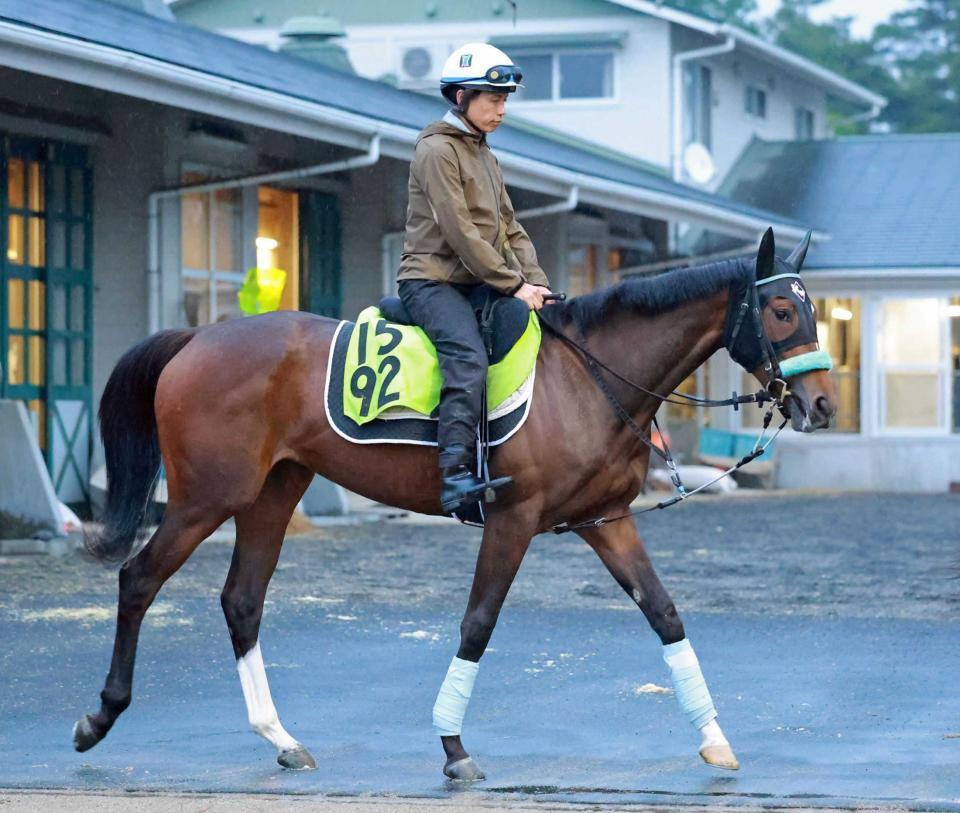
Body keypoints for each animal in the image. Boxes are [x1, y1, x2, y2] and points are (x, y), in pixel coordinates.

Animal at [74, 227, 836, 779]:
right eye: (780, 309)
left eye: (812, 308)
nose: (824, 403)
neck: (587, 376)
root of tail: (198, 337)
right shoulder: (512, 520)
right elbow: (478, 623)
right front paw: (453, 746)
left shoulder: (608, 524)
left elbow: (665, 615)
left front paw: (715, 737)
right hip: (205, 498)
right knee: (139, 579)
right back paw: (100, 716)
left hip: (271, 493)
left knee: (241, 600)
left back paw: (280, 737)